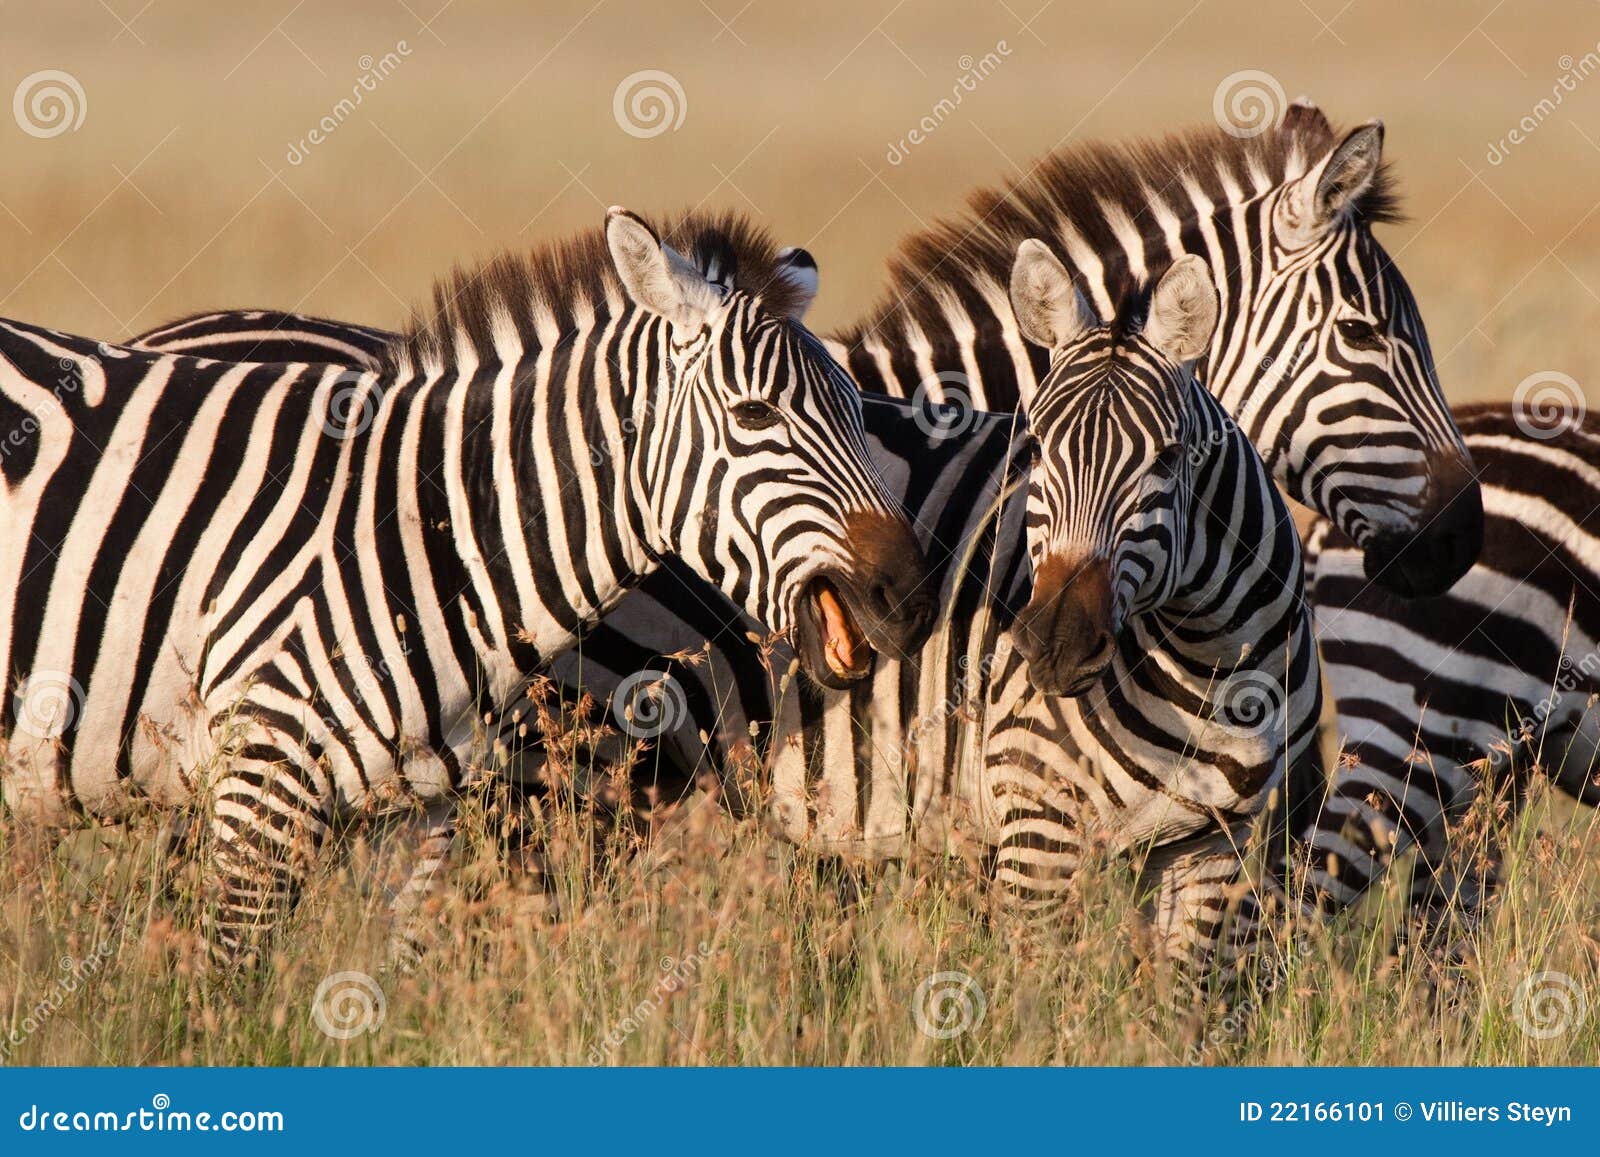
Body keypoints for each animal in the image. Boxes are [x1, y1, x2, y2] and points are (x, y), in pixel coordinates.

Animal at [0, 206, 935, 965]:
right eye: (753, 415)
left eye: (861, 411)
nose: (911, 595)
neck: (433, 529)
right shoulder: (261, 777)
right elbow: (228, 989)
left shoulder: (416, 814)